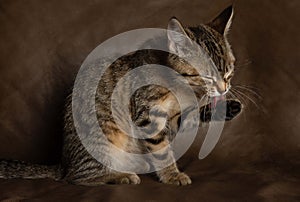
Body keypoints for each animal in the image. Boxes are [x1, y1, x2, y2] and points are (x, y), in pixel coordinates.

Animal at [0, 5, 240, 186]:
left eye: (228, 72)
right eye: (207, 76)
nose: (224, 88)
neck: (179, 85)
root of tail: (64, 164)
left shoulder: (173, 119)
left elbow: (192, 117)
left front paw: (227, 107)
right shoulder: (148, 116)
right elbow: (161, 150)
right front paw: (172, 175)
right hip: (106, 133)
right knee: (77, 178)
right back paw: (121, 175)